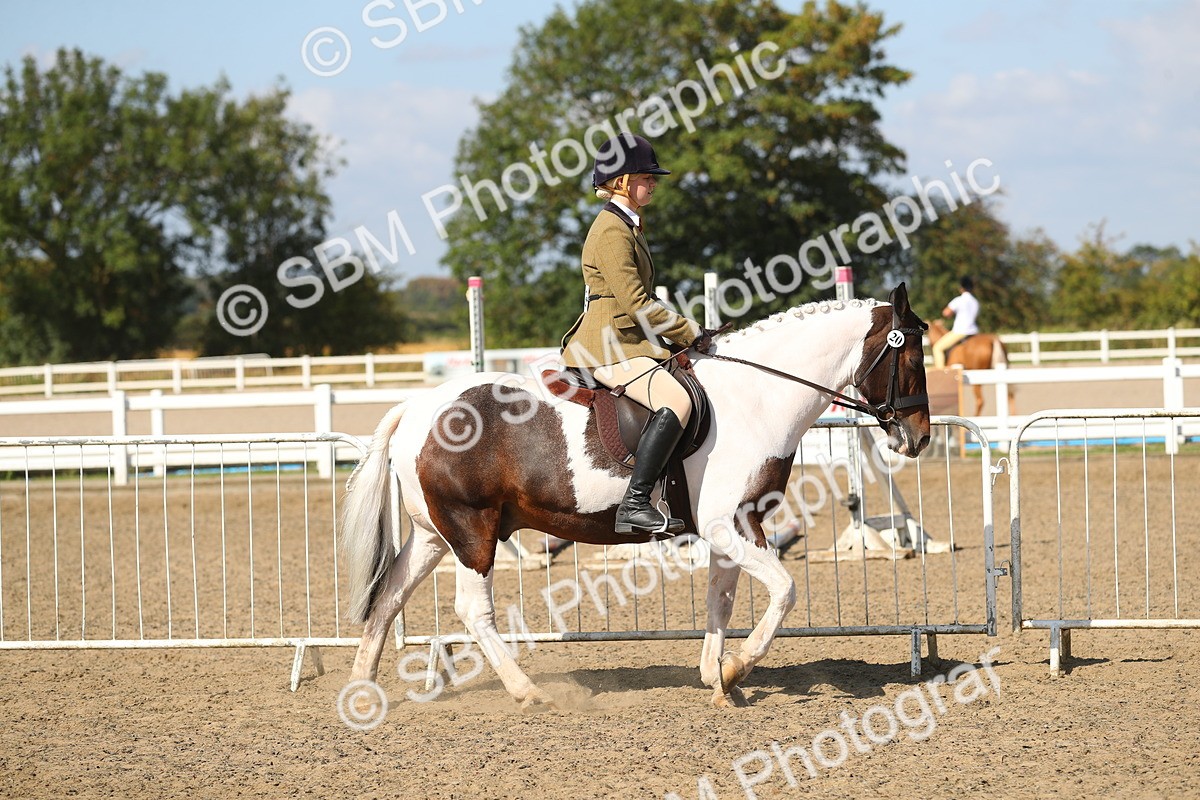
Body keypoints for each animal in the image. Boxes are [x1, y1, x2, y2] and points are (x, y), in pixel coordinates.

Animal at [340, 284, 931, 710]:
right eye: (910, 358)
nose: (919, 437)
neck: (758, 397)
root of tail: (418, 407)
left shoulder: (735, 529)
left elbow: (721, 601)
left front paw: (718, 679)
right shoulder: (728, 526)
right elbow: (783, 591)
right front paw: (737, 666)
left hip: (435, 536)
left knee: (390, 595)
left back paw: (363, 692)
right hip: (473, 531)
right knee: (471, 609)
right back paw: (527, 691)